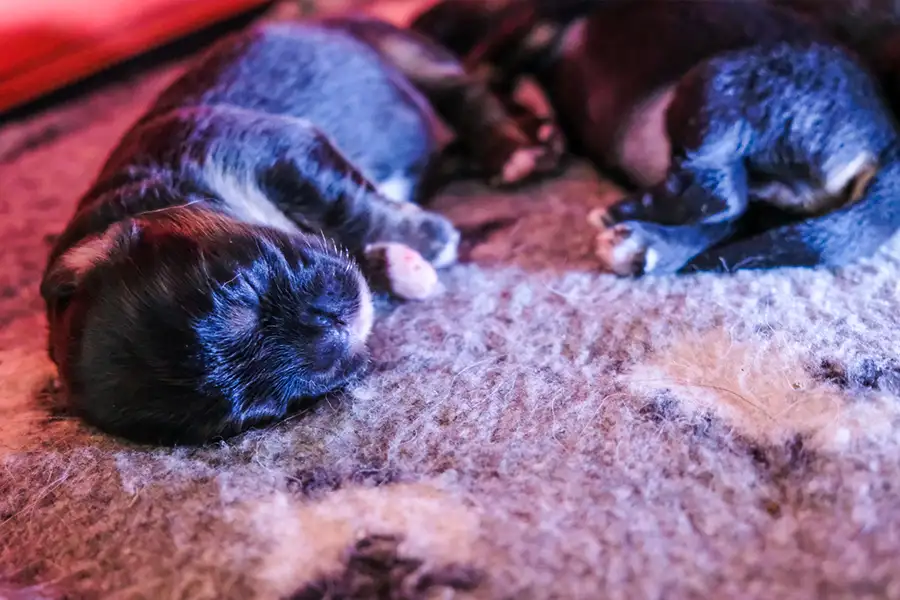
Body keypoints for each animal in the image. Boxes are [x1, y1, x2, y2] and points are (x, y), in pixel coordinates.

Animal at [44, 15, 564, 446]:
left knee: (466, 90)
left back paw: (513, 149)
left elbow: (343, 204)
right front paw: (400, 264)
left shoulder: (284, 150)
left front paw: (428, 239)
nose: (330, 332)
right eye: (263, 407)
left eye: (244, 288)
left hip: (405, 55)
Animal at [414, 0, 900, 276]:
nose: (419, 23)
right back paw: (645, 244)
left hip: (717, 84)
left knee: (718, 196)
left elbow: (484, 71)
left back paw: (624, 215)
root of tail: (884, 140)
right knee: (732, 217)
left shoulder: (530, 24)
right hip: (775, 191)